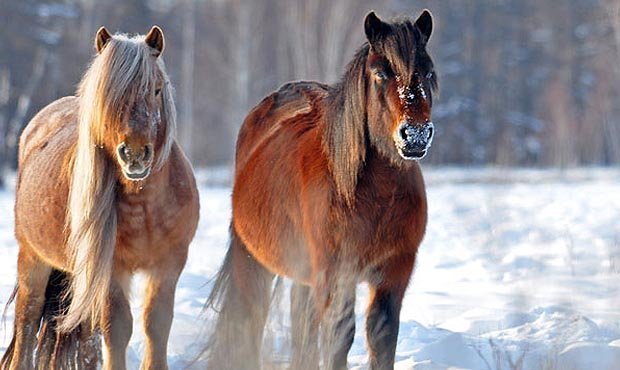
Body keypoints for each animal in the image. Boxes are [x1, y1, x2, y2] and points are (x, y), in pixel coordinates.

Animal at [0, 26, 199, 370]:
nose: (135, 153)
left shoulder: (169, 263)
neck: (146, 205)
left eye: (157, 90)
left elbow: (156, 325)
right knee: (28, 316)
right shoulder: (111, 270)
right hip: (33, 257)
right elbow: (117, 327)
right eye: (110, 96)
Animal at [206, 9, 438, 370]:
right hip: (254, 262)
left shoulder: (394, 274)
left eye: (428, 71)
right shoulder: (336, 275)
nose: (414, 135)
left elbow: (382, 338)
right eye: (380, 73)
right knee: (252, 322)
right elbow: (340, 337)